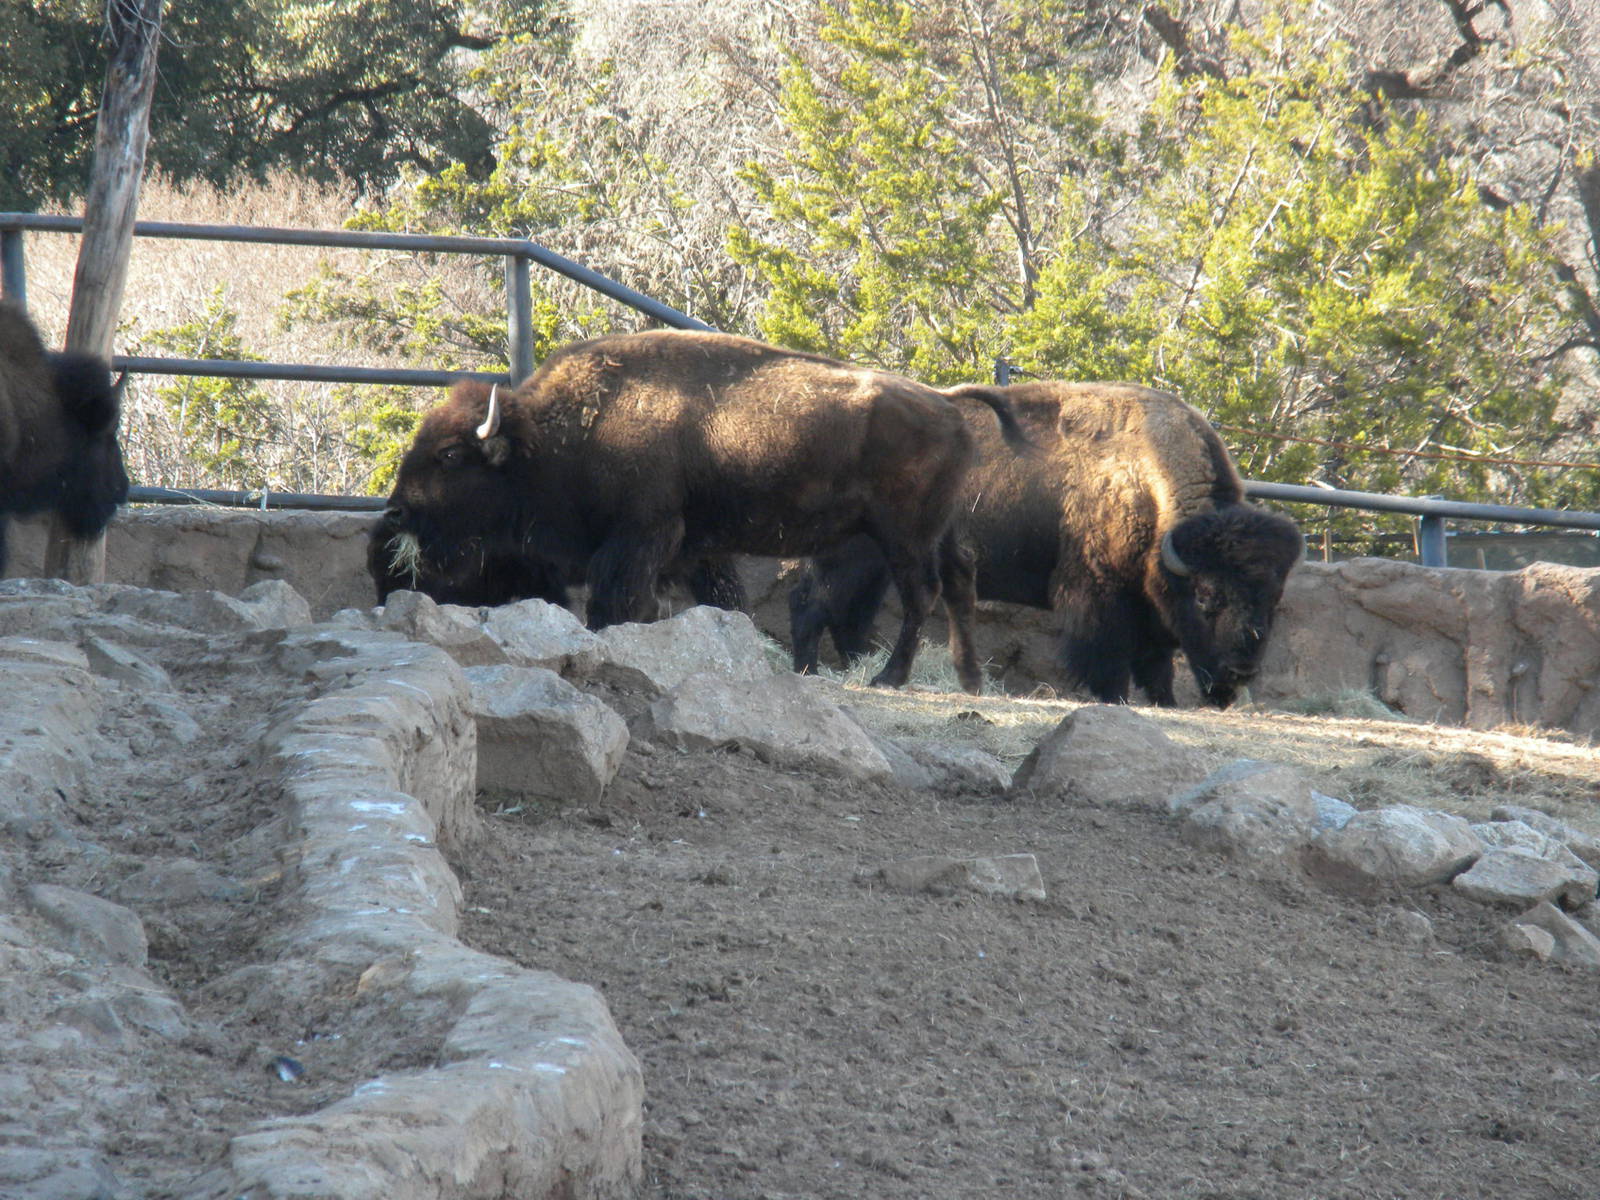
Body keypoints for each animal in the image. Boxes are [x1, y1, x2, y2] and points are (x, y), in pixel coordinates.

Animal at [377, 329, 1027, 688]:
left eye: (450, 454)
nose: (397, 512)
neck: (553, 435)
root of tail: (947, 406)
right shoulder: (695, 550)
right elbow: (719, 601)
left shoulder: (641, 536)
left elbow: (618, 602)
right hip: (938, 532)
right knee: (959, 588)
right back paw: (969, 682)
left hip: (903, 536)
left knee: (921, 596)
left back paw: (892, 677)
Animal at [790, 381, 1303, 707]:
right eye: (1207, 597)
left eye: (1275, 600)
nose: (1240, 673)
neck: (1146, 478)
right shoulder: (1098, 590)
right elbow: (1110, 652)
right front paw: (1113, 696)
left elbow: (1156, 660)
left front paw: (1165, 701)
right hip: (854, 559)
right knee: (816, 604)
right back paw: (813, 671)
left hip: (877, 566)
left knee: (847, 615)